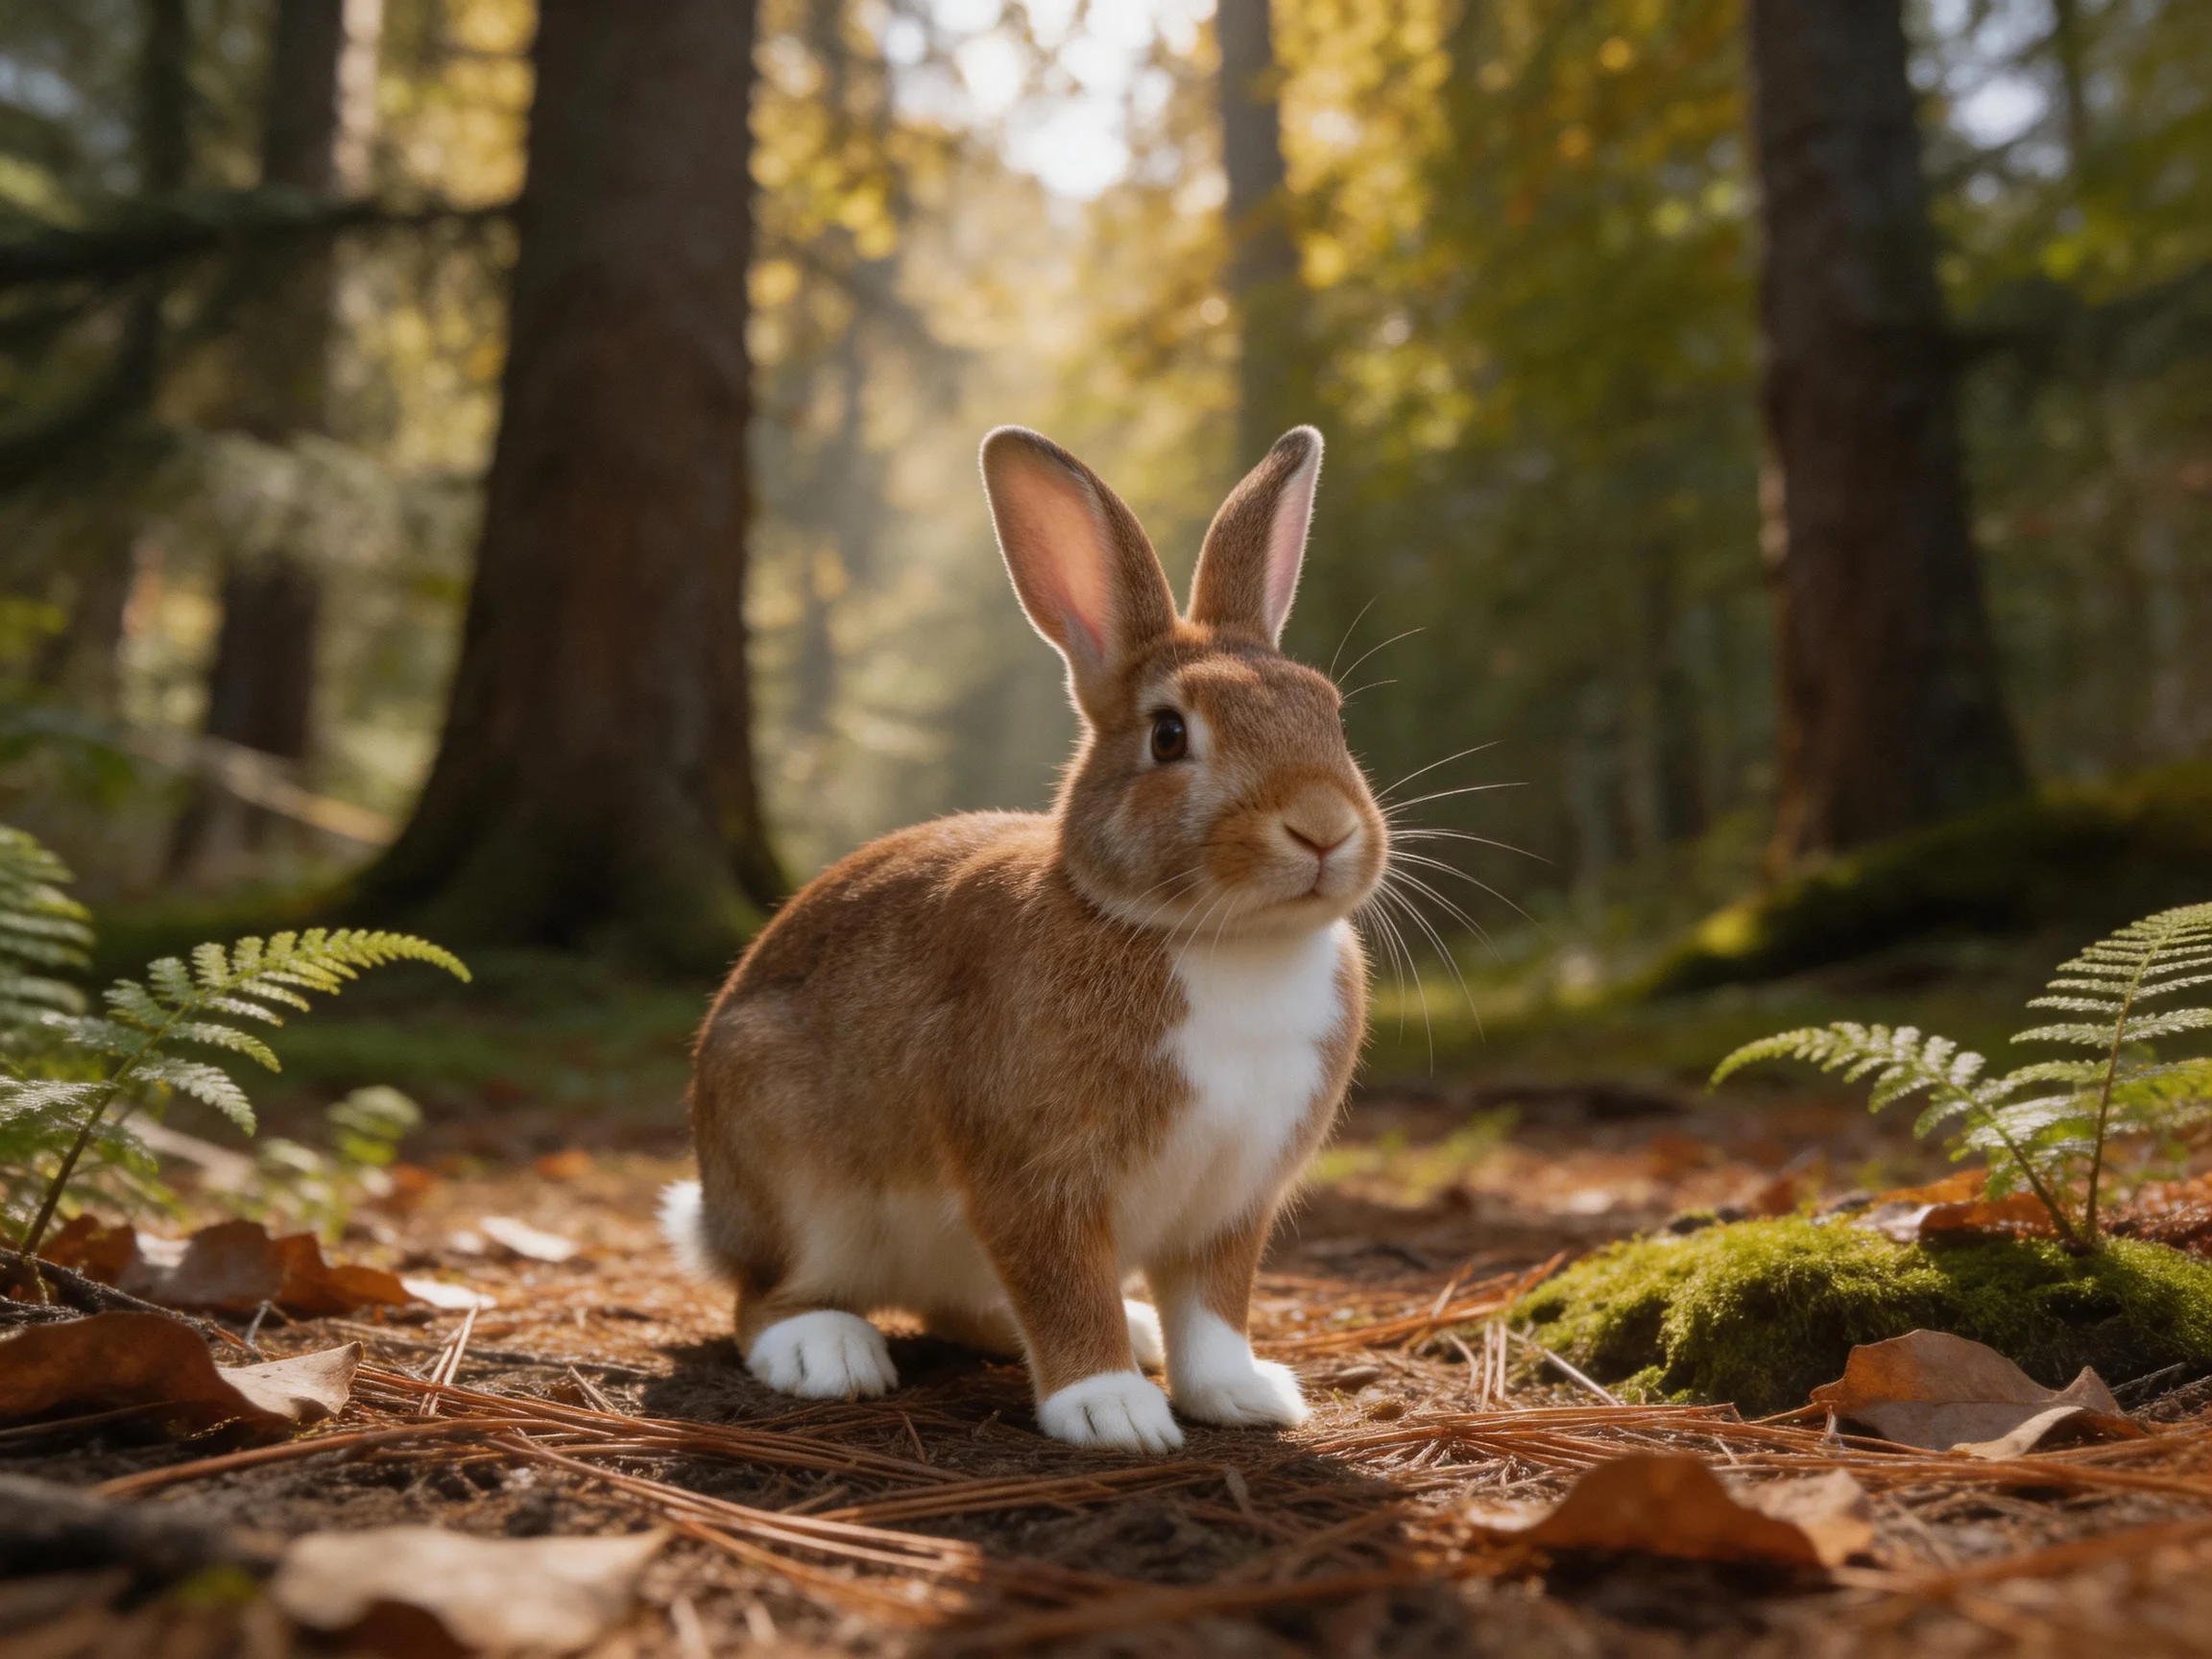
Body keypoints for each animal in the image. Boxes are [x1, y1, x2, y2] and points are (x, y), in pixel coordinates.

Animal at [661, 424, 1386, 1452]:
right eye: (1170, 735)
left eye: (1329, 712)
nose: (1323, 828)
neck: (1222, 940)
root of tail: (716, 1211)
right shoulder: (1036, 1179)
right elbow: (1065, 1285)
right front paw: (1111, 1410)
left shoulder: (1232, 1201)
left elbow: (1213, 1310)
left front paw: (1243, 1396)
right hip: (797, 1179)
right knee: (763, 1297)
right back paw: (826, 1354)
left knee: (964, 1306)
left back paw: (1133, 1334)